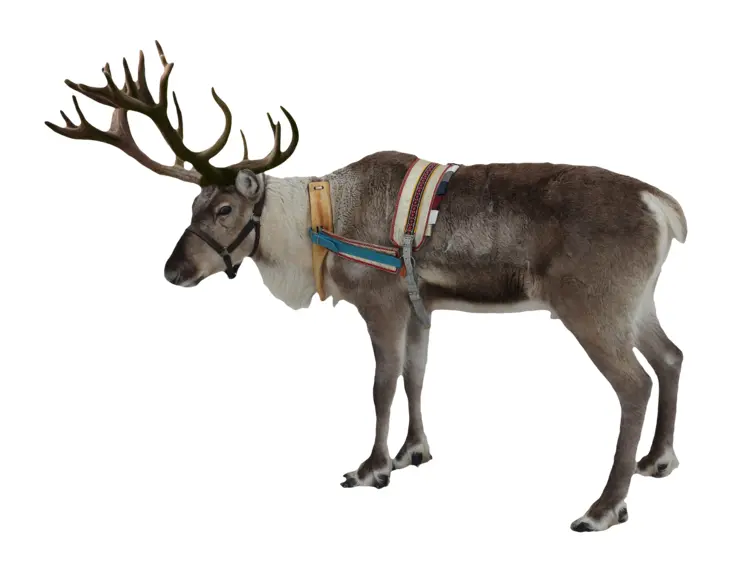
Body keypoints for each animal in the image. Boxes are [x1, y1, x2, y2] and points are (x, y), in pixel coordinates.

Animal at [46, 41, 687, 533]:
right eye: (192, 205)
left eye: (223, 208)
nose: (171, 270)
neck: (313, 225)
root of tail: (664, 207)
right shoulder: (421, 306)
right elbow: (414, 376)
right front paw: (411, 453)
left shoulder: (379, 301)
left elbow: (379, 385)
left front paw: (371, 467)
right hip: (639, 302)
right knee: (672, 357)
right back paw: (658, 461)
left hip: (593, 307)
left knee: (634, 384)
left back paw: (604, 507)